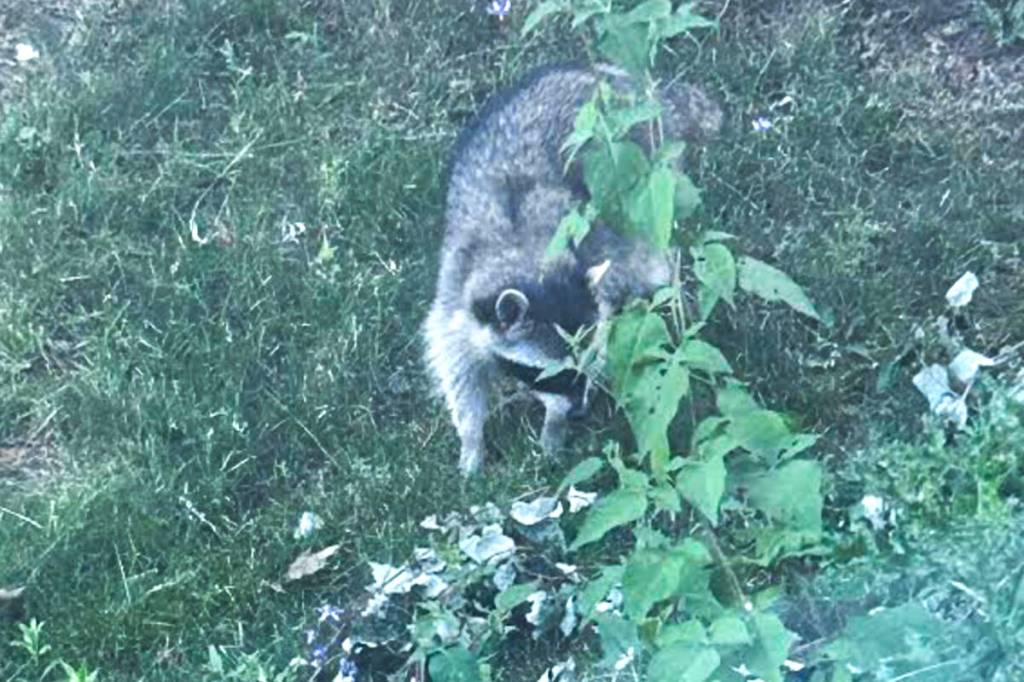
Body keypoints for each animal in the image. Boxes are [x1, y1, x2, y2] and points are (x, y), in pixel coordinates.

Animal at [424, 63, 721, 475]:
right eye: (554, 373)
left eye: (589, 359)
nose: (580, 411)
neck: (522, 251)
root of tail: (610, 76)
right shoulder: (456, 290)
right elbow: (457, 366)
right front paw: (471, 440)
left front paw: (554, 426)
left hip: (647, 178)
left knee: (650, 258)